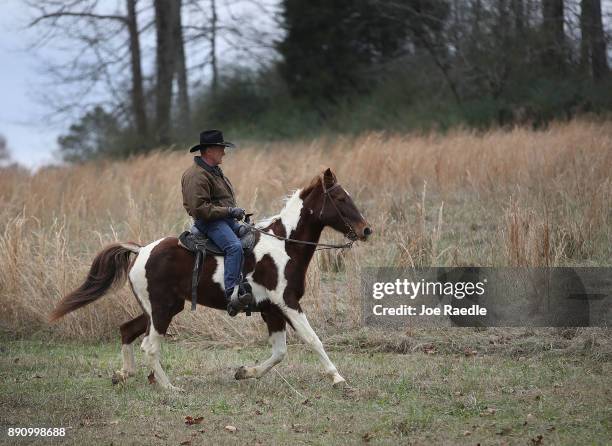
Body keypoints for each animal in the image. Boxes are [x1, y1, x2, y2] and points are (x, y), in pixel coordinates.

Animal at [50, 168, 370, 390]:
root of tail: (141, 250)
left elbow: (279, 352)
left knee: (127, 331)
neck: (284, 244)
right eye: (340, 198)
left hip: (161, 308)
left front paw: (245, 372)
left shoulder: (271, 310)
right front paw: (338, 379)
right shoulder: (287, 303)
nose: (366, 230)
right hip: (162, 310)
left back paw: (124, 374)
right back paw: (170, 388)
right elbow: (313, 339)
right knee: (149, 346)